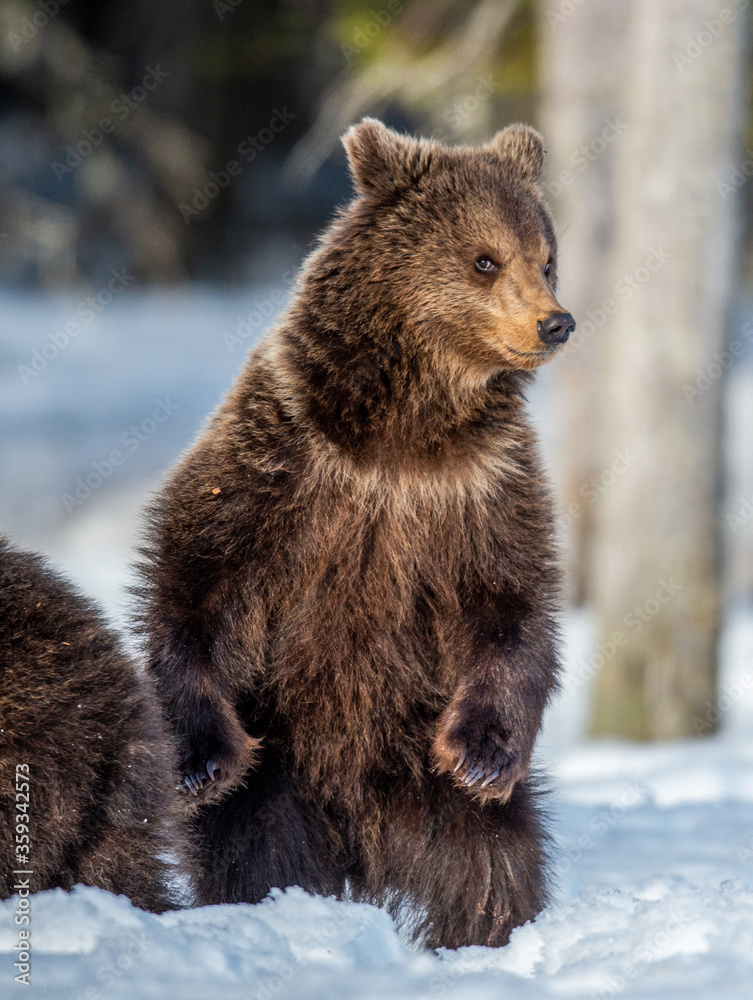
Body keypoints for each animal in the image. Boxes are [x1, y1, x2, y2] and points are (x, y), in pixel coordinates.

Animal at [135, 118, 575, 948]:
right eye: (483, 258)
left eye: (546, 256)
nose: (555, 321)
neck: (404, 432)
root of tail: (361, 849)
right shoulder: (284, 456)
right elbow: (198, 568)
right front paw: (201, 755)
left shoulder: (479, 489)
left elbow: (511, 603)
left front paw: (479, 753)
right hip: (280, 776)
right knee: (254, 854)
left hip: (426, 781)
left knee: (492, 863)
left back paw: (481, 931)